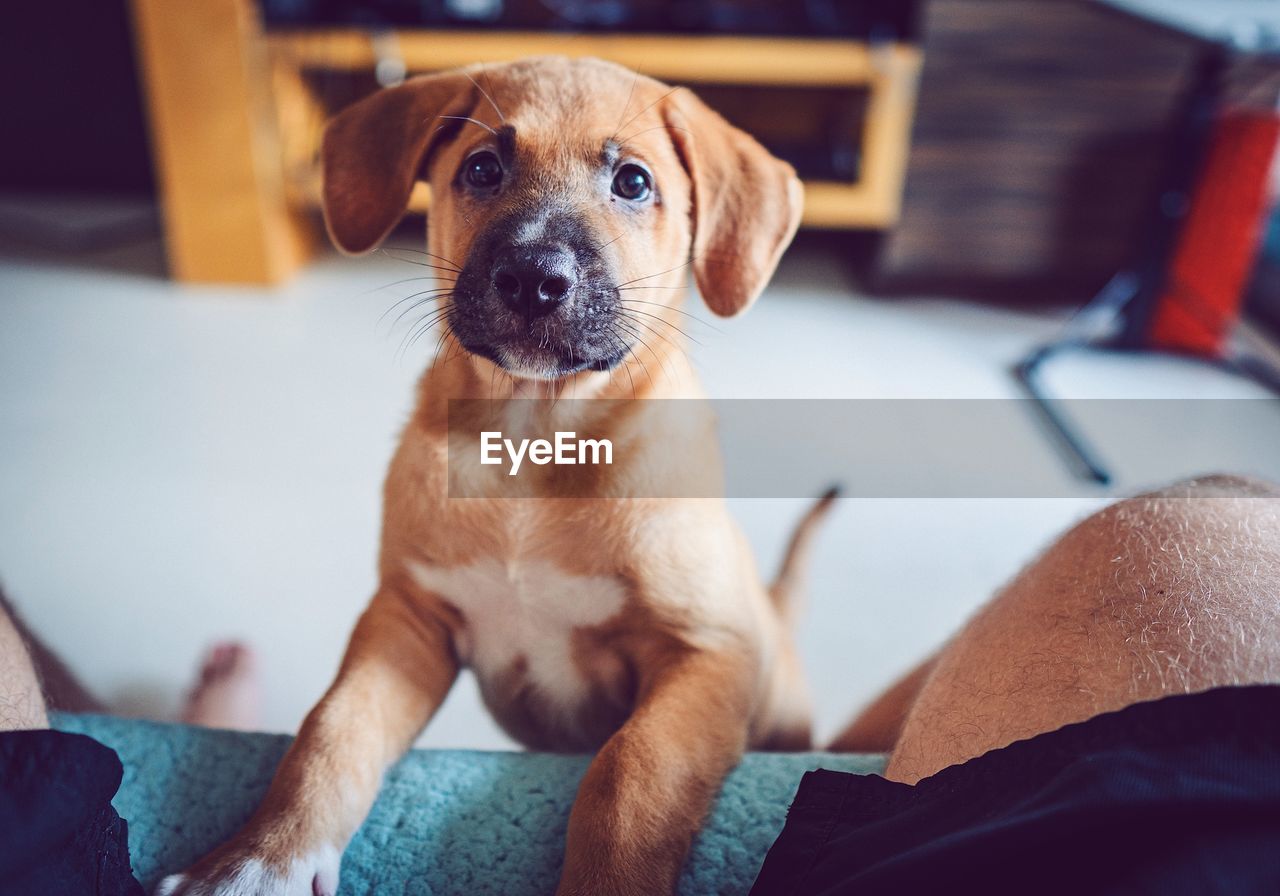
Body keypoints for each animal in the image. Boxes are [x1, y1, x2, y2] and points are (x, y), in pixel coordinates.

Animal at [160, 56, 824, 896]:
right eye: (482, 169)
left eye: (633, 182)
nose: (533, 277)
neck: (533, 447)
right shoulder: (409, 618)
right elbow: (332, 730)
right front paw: (261, 859)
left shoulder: (706, 653)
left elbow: (631, 772)